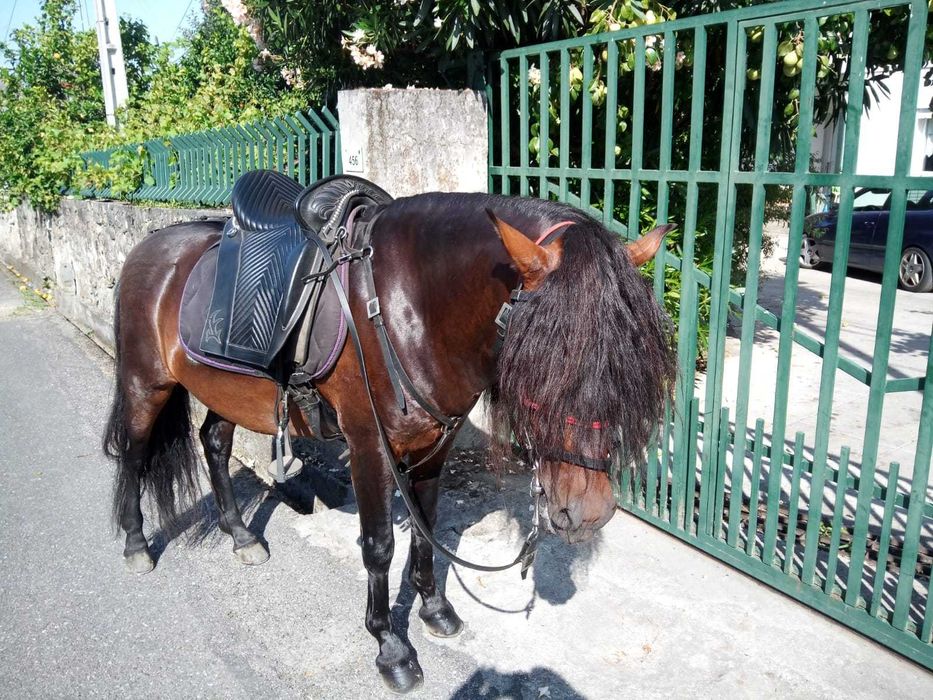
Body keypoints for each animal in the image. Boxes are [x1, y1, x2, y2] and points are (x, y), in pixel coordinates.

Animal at [102, 189, 676, 693]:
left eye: (627, 359)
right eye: (545, 355)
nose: (589, 513)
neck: (408, 308)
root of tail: (151, 245)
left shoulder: (433, 448)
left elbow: (425, 532)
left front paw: (436, 611)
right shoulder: (368, 447)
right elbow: (379, 546)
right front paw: (391, 648)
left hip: (225, 391)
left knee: (214, 444)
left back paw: (241, 535)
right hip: (145, 384)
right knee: (133, 453)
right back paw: (135, 544)